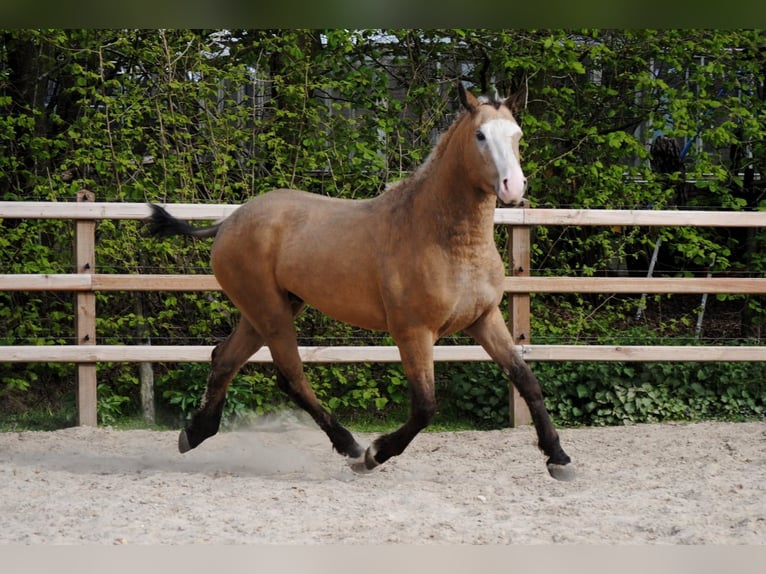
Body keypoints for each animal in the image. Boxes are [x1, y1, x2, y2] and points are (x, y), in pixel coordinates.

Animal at [148, 82, 574, 481]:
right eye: (480, 135)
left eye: (517, 134)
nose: (513, 187)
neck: (443, 238)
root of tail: (229, 222)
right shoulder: (413, 332)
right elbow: (425, 406)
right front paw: (375, 454)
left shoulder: (484, 319)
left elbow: (526, 380)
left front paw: (559, 458)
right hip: (271, 313)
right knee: (292, 376)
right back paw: (351, 446)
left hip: (268, 310)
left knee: (224, 359)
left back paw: (195, 433)